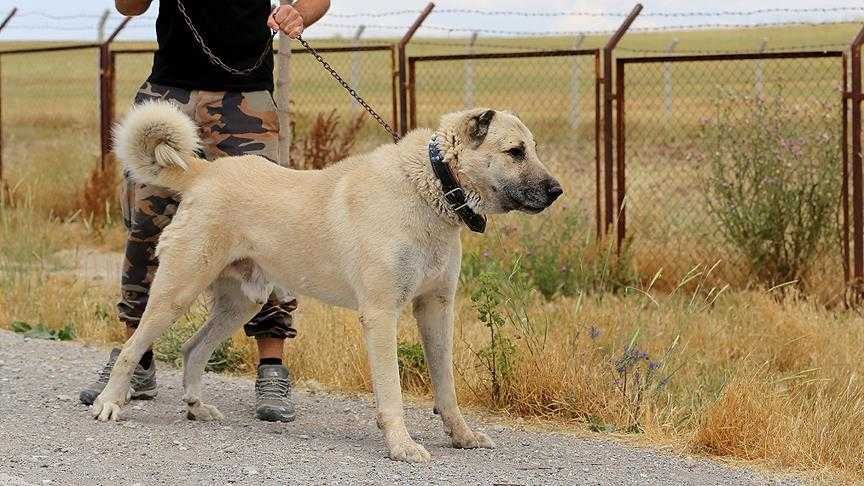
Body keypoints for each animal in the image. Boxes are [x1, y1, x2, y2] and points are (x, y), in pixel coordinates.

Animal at [94, 100, 564, 462]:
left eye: (532, 149)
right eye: (516, 151)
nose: (557, 191)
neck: (432, 184)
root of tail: (205, 172)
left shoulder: (436, 310)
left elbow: (445, 386)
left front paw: (461, 435)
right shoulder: (381, 315)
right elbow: (391, 393)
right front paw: (401, 445)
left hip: (242, 302)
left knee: (193, 348)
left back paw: (196, 406)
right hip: (176, 291)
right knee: (131, 348)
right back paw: (109, 403)